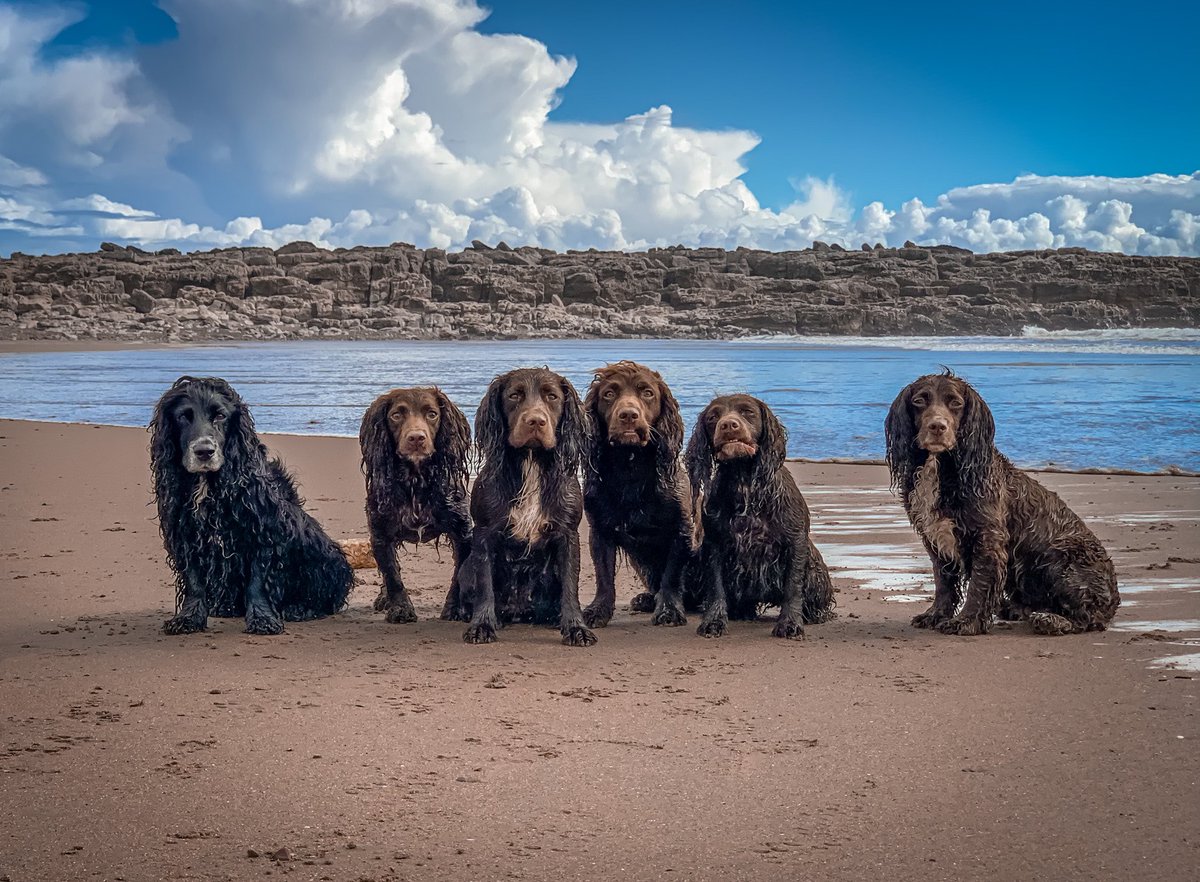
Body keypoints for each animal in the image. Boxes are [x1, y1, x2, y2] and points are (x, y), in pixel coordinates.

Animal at [357, 388, 470, 624]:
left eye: (432, 414)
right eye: (396, 415)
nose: (416, 438)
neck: (416, 483)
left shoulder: (462, 530)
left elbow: (459, 574)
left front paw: (455, 609)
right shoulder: (380, 534)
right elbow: (392, 575)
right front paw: (400, 609)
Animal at [453, 367, 595, 648]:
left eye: (552, 396)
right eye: (514, 395)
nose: (535, 421)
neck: (531, 463)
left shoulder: (568, 534)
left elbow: (570, 586)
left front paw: (576, 627)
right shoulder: (484, 533)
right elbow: (485, 584)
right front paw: (482, 625)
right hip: (467, 567)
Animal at [578, 360, 700, 628]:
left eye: (647, 393)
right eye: (609, 394)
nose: (628, 415)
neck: (630, 469)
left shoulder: (681, 530)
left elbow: (671, 576)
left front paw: (669, 611)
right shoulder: (600, 530)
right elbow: (604, 576)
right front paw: (598, 610)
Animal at [686, 396, 835, 638]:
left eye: (748, 412)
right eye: (713, 417)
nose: (729, 425)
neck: (745, 485)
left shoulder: (795, 542)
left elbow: (793, 586)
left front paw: (789, 623)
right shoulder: (714, 544)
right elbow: (716, 587)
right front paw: (714, 621)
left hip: (814, 567)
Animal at [883, 372, 1123, 633]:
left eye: (955, 403)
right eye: (919, 401)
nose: (937, 426)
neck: (941, 468)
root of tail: (1114, 598)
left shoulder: (988, 537)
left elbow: (978, 585)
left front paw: (966, 621)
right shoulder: (935, 538)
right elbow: (943, 583)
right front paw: (935, 614)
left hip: (1061, 556)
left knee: (1089, 618)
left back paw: (1051, 620)